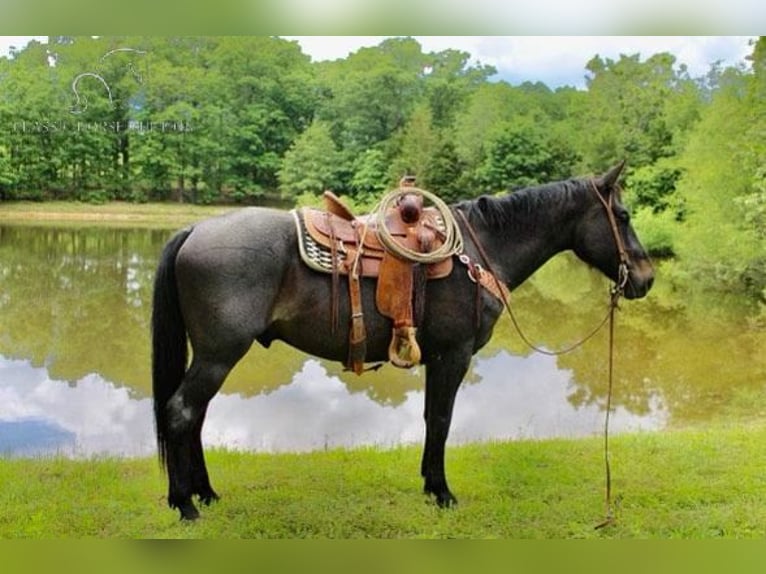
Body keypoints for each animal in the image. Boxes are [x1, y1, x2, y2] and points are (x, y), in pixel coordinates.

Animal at [150, 162, 656, 520]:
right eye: (624, 215)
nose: (646, 278)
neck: (480, 251)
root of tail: (195, 229)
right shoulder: (453, 355)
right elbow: (442, 420)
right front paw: (442, 491)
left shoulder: (440, 358)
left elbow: (434, 418)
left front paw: (431, 485)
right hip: (219, 354)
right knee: (180, 412)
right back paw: (185, 503)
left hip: (212, 355)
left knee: (194, 416)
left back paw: (205, 493)